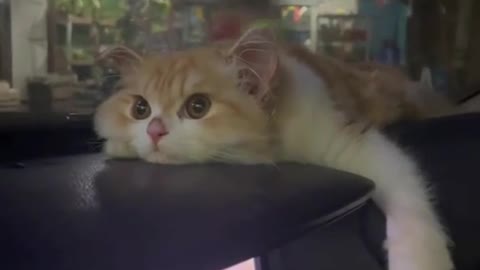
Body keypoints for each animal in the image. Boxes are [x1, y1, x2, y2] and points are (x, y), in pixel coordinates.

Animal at [94, 26, 454, 270]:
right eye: (140, 109)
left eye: (198, 107)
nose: (154, 130)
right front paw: (119, 143)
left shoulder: (347, 140)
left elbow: (408, 202)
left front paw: (424, 260)